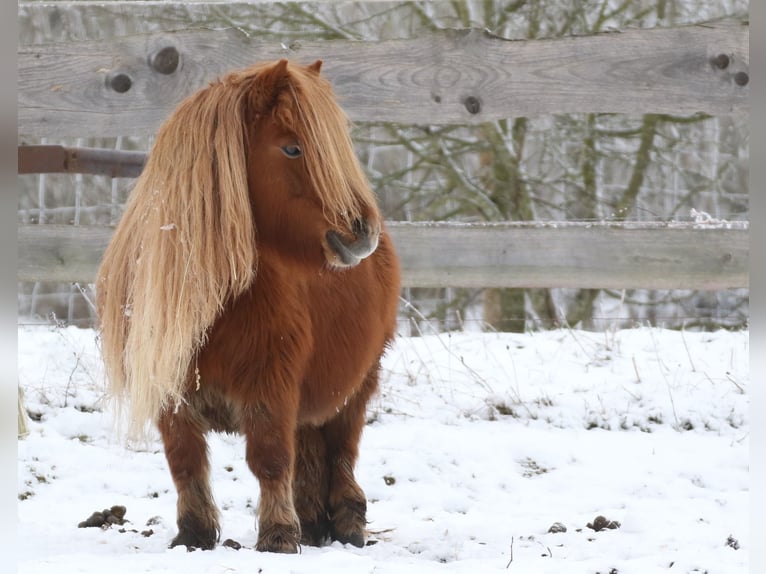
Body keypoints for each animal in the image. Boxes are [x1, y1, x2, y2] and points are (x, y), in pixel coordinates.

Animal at [97, 60, 402, 556]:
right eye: (292, 147)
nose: (362, 232)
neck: (215, 307)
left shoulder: (270, 389)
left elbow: (270, 460)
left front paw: (277, 537)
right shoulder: (170, 395)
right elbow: (185, 463)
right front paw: (194, 535)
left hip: (356, 388)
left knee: (341, 452)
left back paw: (347, 526)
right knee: (311, 452)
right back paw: (312, 524)